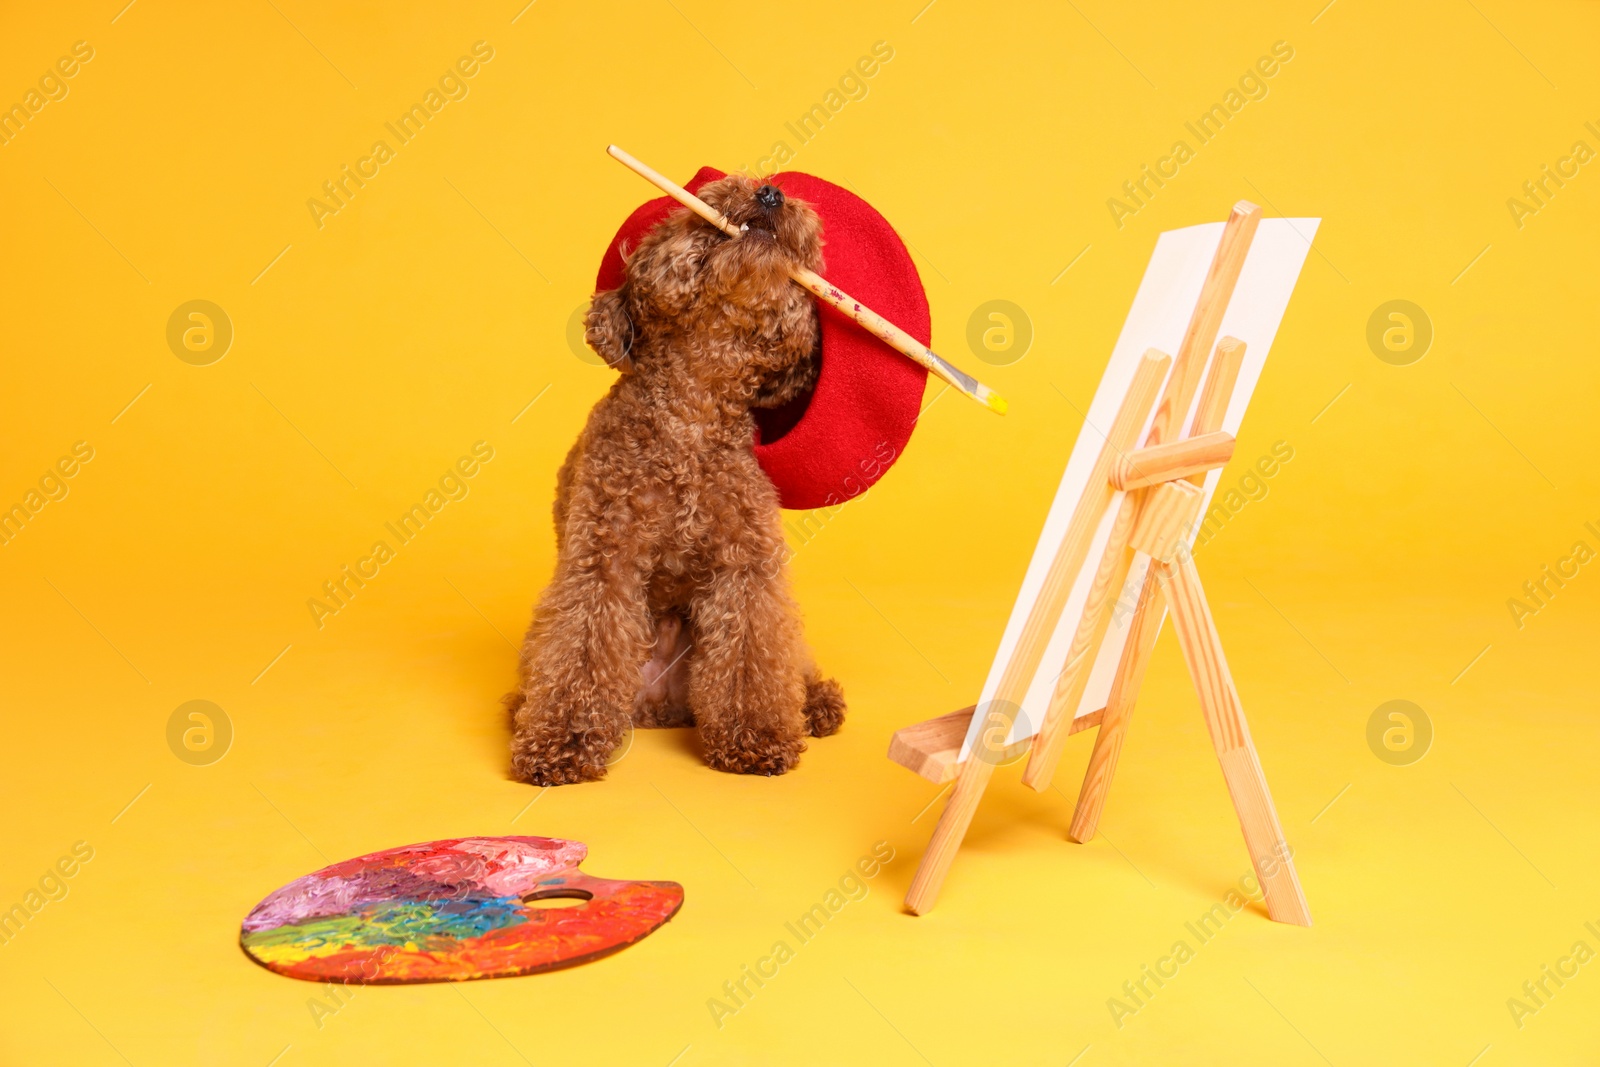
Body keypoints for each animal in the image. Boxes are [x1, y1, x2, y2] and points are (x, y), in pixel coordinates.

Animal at [508, 179, 851, 790]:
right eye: (714, 199)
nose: (770, 193)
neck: (692, 411)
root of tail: (663, 707)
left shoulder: (747, 565)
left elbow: (754, 652)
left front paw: (756, 737)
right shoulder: (602, 558)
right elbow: (580, 650)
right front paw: (560, 743)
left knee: (791, 661)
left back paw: (814, 702)